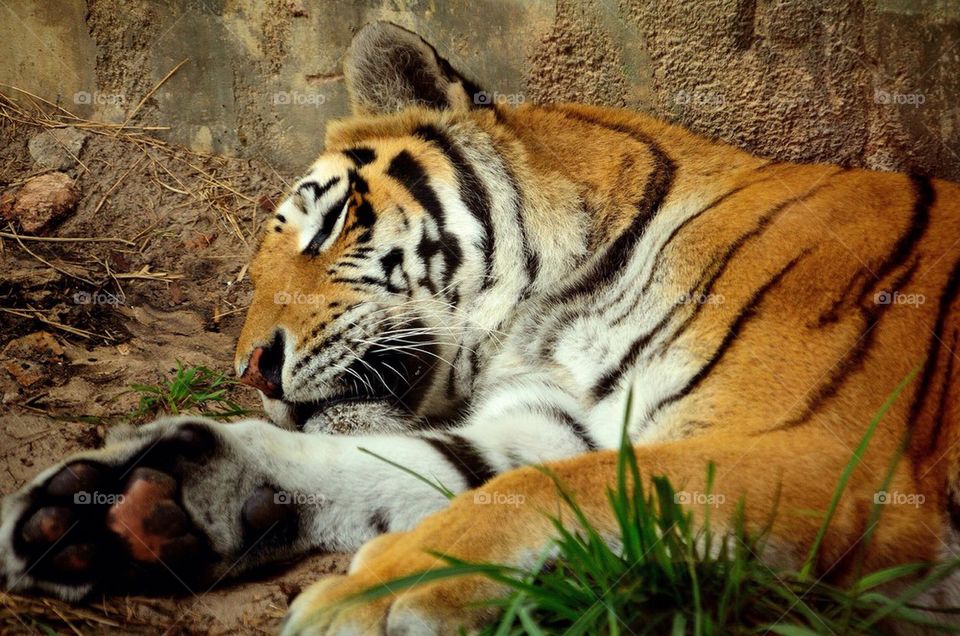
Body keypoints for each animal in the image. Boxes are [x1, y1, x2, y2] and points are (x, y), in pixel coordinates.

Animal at [2, 20, 959, 635]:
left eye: (330, 223)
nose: (253, 372)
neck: (557, 318)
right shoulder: (560, 424)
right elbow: (424, 470)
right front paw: (132, 501)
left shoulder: (822, 453)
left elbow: (540, 493)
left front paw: (364, 600)